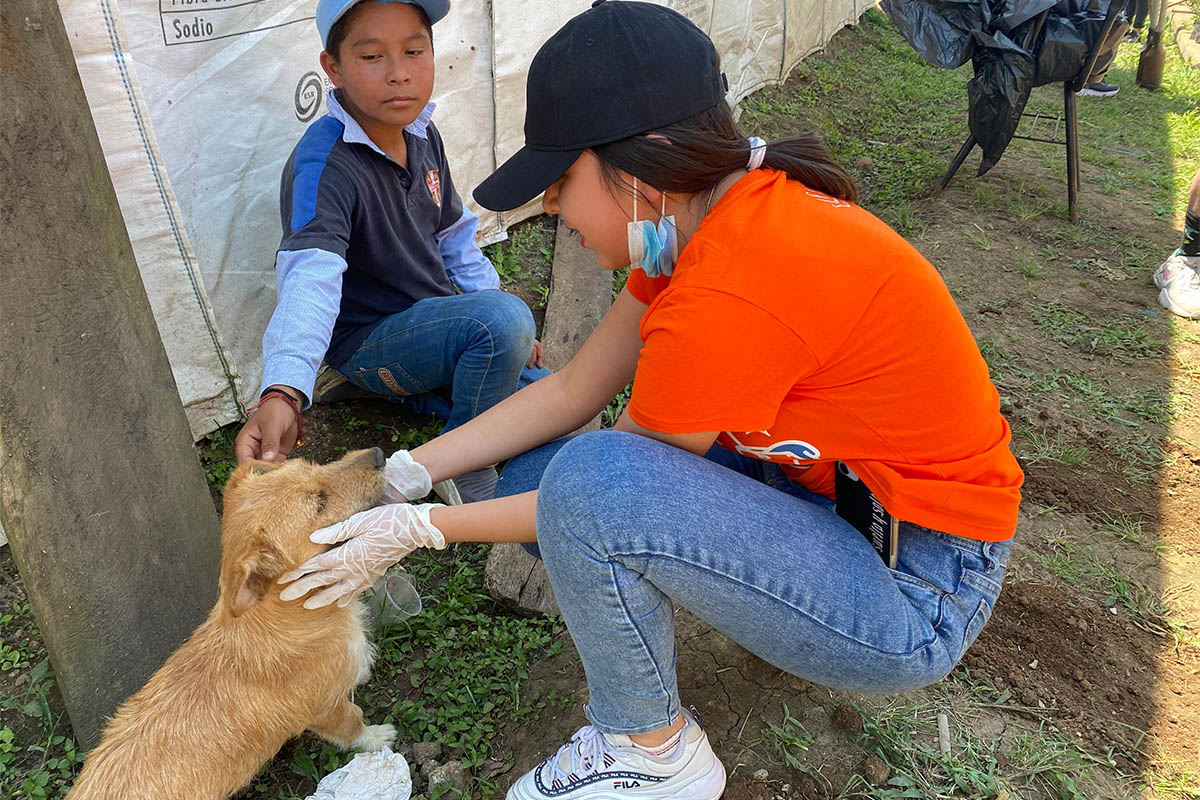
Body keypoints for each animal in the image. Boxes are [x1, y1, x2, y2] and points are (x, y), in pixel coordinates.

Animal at [68, 448, 396, 796]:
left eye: (311, 465)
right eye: (320, 501)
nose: (378, 454)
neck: (290, 618)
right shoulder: (328, 709)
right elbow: (353, 725)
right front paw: (377, 738)